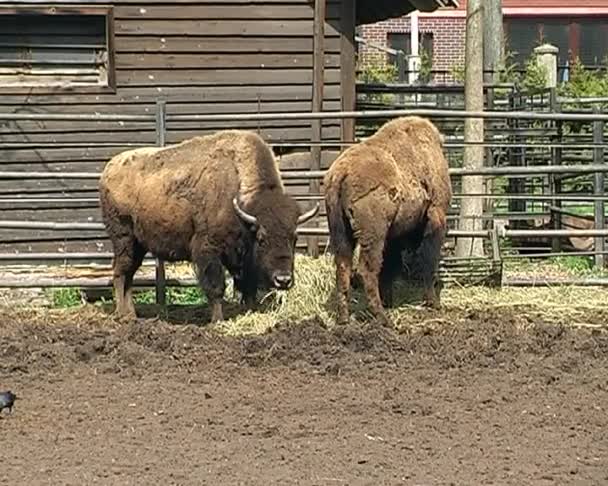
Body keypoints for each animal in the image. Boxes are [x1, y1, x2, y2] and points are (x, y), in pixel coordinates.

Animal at [99, 131, 318, 324]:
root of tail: (108, 169)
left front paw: (250, 312)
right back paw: (123, 315)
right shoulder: (208, 250)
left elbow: (248, 289)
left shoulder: (243, 260)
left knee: (128, 274)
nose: (283, 280)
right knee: (120, 273)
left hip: (139, 245)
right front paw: (217, 320)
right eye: (262, 239)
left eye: (294, 238)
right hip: (124, 239)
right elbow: (216, 287)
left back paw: (131, 314)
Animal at [324, 116, 452, 324]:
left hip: (340, 232)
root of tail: (341, 173)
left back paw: (344, 319)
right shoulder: (436, 216)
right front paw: (433, 302)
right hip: (373, 234)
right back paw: (383, 318)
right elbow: (427, 261)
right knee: (367, 269)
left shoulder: (394, 234)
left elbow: (390, 266)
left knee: (343, 268)